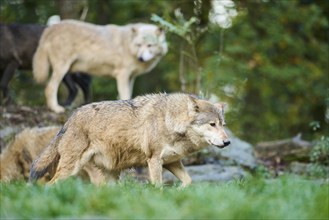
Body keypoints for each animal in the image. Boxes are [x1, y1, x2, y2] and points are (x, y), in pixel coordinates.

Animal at [30, 93, 231, 186]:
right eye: (212, 124)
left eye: (223, 125)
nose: (228, 142)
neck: (170, 121)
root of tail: (70, 118)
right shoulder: (154, 160)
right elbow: (158, 186)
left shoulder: (171, 162)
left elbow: (188, 182)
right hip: (71, 169)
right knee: (49, 185)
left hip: (110, 175)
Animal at [32, 19, 167, 112]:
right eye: (139, 45)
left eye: (149, 45)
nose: (140, 58)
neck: (128, 44)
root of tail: (50, 28)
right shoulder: (122, 74)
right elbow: (125, 95)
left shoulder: (131, 77)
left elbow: (126, 95)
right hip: (62, 69)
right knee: (50, 88)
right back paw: (56, 108)